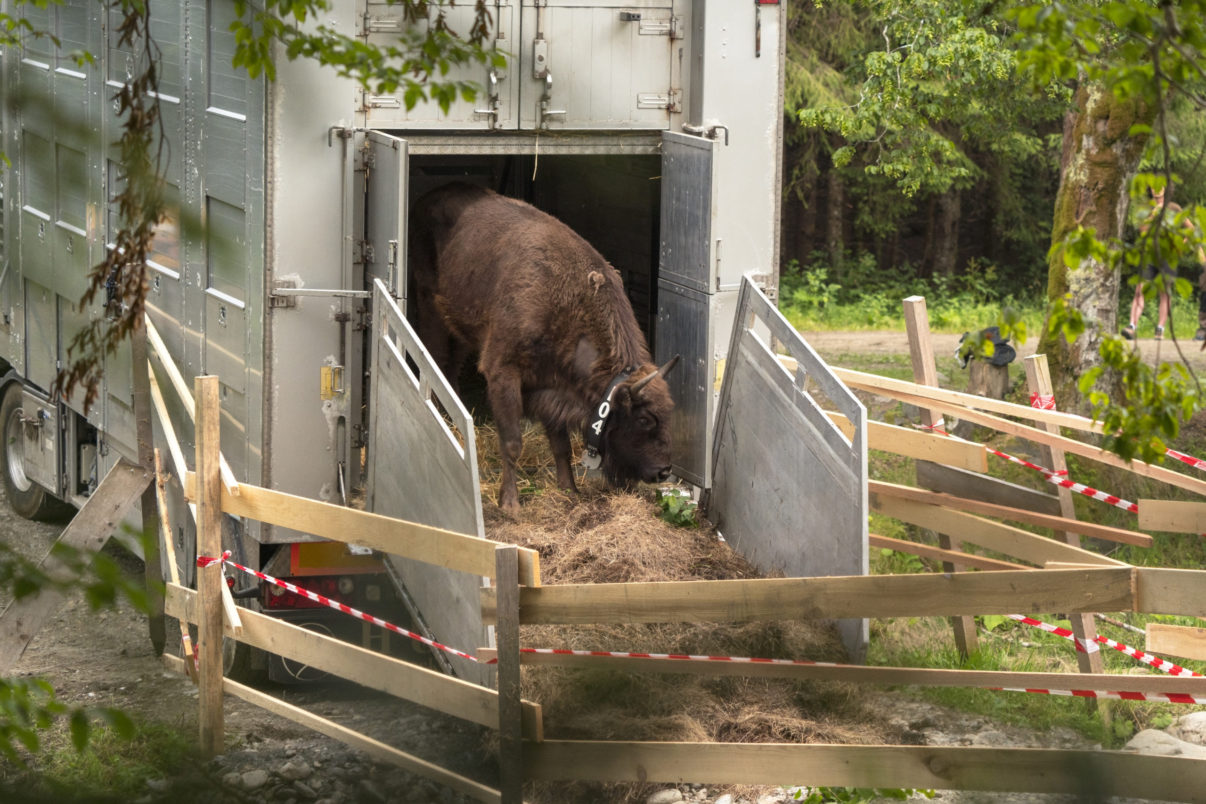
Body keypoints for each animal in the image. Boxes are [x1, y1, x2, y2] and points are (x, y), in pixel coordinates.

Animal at [408, 182, 678, 515]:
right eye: (643, 419)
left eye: (669, 413)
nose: (664, 471)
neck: (565, 302)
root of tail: (427, 198)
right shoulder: (503, 373)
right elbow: (512, 443)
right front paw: (511, 505)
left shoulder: (552, 386)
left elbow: (560, 445)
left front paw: (569, 490)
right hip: (431, 307)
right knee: (435, 355)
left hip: (460, 324)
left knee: (451, 365)